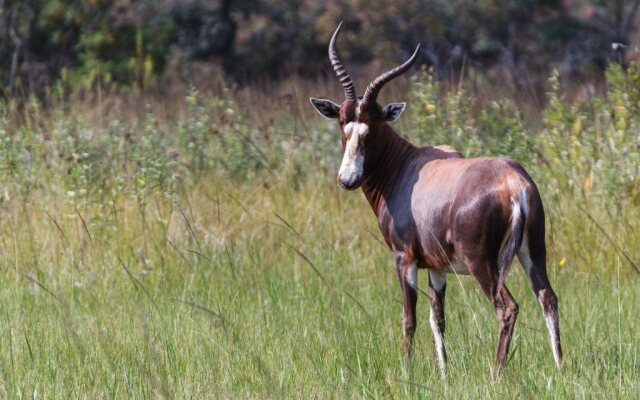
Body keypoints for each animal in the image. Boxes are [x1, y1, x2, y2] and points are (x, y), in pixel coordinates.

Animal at [312, 23, 564, 376]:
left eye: (373, 127)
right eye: (342, 123)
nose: (348, 179)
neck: (407, 166)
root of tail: (514, 183)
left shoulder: (404, 258)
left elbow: (410, 319)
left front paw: (406, 371)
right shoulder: (437, 267)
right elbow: (438, 318)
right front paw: (443, 374)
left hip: (482, 263)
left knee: (507, 308)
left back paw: (496, 375)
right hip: (533, 252)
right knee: (548, 298)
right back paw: (561, 369)